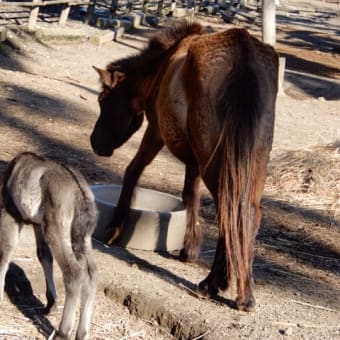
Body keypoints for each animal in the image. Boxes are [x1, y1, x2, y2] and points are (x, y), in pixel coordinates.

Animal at [91, 19, 278, 310]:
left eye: (103, 99)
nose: (95, 143)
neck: (162, 66)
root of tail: (244, 54)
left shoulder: (156, 131)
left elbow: (133, 170)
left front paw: (115, 228)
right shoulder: (195, 159)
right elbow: (190, 195)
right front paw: (189, 248)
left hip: (218, 164)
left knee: (229, 211)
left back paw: (217, 286)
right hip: (250, 163)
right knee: (247, 213)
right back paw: (240, 292)